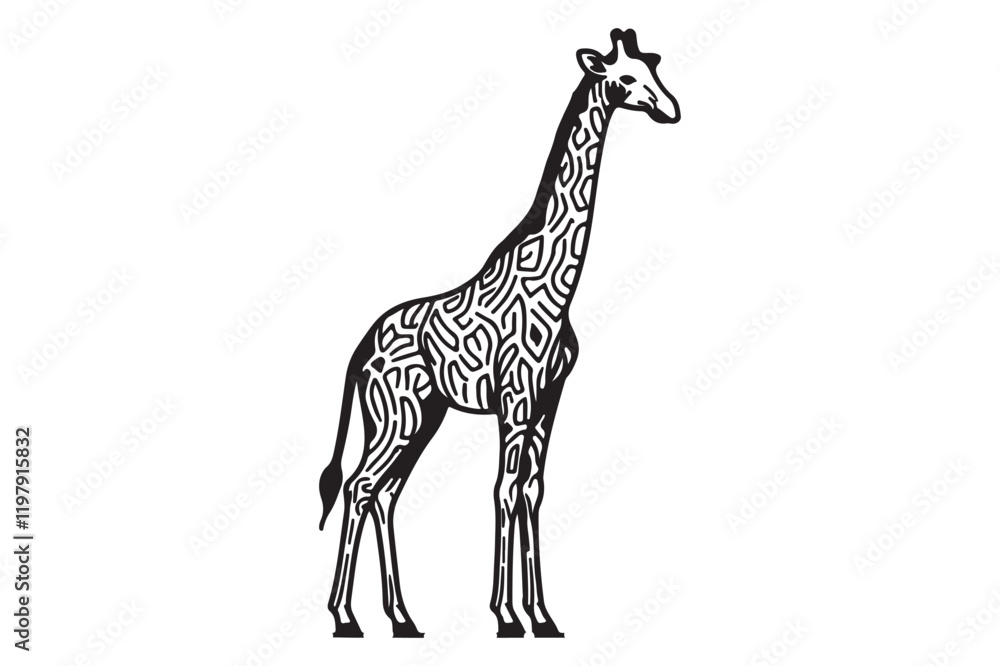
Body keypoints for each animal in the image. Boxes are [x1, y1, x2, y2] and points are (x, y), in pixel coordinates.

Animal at [318, 28, 679, 638]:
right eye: (626, 78)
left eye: (654, 67)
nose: (670, 108)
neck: (557, 283)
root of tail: (360, 350)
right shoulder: (516, 396)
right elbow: (504, 491)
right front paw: (508, 617)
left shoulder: (549, 398)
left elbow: (532, 491)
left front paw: (543, 617)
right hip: (397, 414)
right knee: (360, 486)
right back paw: (345, 618)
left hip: (423, 414)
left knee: (386, 493)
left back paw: (402, 618)